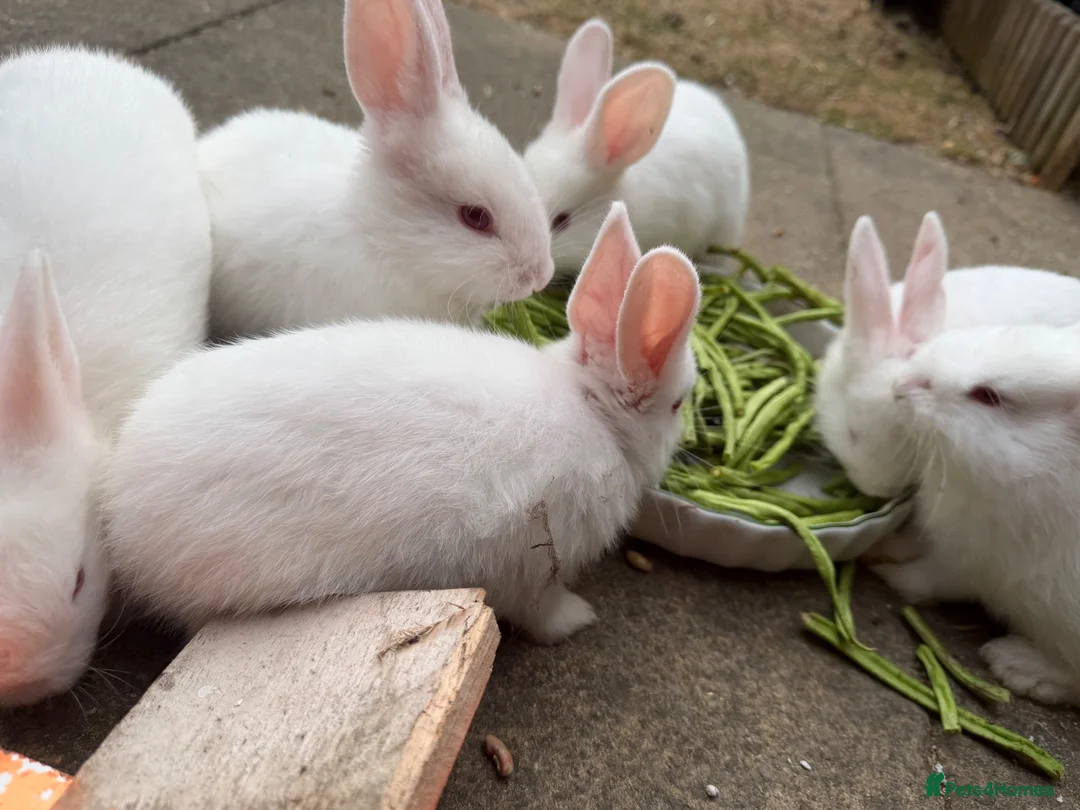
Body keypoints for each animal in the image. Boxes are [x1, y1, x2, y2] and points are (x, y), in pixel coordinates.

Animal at [101, 202, 701, 644]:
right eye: (678, 405)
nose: (683, 438)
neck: (592, 409)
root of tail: (122, 522)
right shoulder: (533, 568)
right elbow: (541, 611)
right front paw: (579, 618)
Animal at [876, 322, 1080, 705]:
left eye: (988, 396)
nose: (901, 384)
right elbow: (913, 543)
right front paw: (884, 546)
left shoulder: (976, 561)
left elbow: (928, 578)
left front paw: (885, 573)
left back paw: (1013, 664)